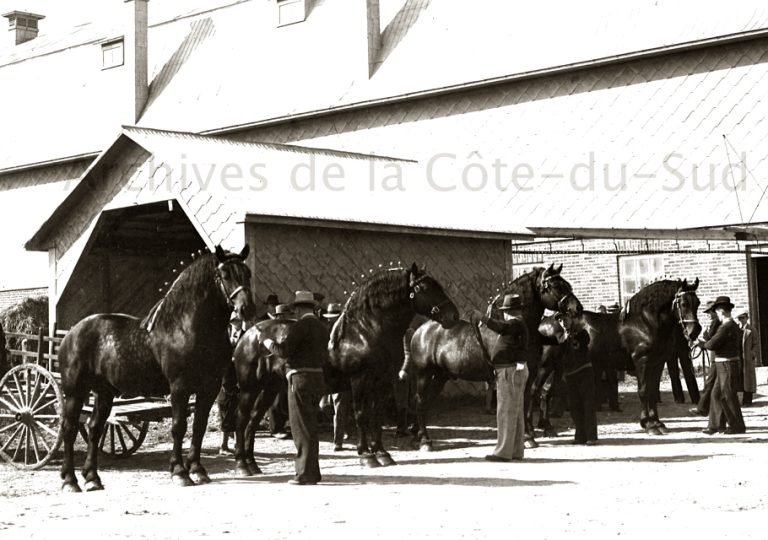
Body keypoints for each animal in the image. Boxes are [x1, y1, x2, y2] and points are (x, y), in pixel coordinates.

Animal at [57, 245, 256, 492]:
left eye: (247, 273)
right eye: (225, 275)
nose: (247, 309)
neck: (185, 327)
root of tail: (71, 333)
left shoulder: (208, 389)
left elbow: (198, 428)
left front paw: (198, 470)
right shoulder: (179, 387)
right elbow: (179, 427)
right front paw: (180, 473)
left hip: (104, 393)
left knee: (95, 429)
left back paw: (92, 478)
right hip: (75, 392)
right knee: (69, 429)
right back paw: (70, 480)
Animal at [231, 318, 294, 476]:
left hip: (269, 389)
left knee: (253, 420)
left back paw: (252, 463)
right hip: (249, 389)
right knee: (241, 419)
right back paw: (241, 464)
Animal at [328, 263, 459, 468]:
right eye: (424, 288)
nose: (453, 316)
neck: (363, 333)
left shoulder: (383, 381)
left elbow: (377, 415)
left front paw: (381, 453)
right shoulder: (359, 380)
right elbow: (361, 414)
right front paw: (365, 455)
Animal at [406, 264, 582, 450]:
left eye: (567, 284)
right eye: (556, 286)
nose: (577, 308)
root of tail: (420, 330)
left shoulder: (532, 372)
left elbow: (526, 400)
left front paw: (527, 436)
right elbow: (524, 401)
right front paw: (528, 437)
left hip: (441, 376)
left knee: (426, 401)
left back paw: (417, 436)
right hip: (423, 374)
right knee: (420, 401)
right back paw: (425, 441)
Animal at [618, 278, 701, 435]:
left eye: (698, 302)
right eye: (683, 303)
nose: (695, 331)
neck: (643, 324)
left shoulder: (657, 362)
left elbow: (652, 391)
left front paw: (656, 423)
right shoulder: (642, 362)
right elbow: (644, 391)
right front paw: (649, 425)